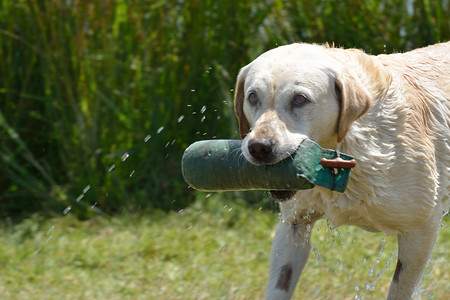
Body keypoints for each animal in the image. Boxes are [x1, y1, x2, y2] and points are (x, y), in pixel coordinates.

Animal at [234, 41, 448, 298]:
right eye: (253, 97)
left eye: (299, 99)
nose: (258, 147)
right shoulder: (293, 225)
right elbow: (279, 285)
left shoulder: (421, 230)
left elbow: (399, 288)